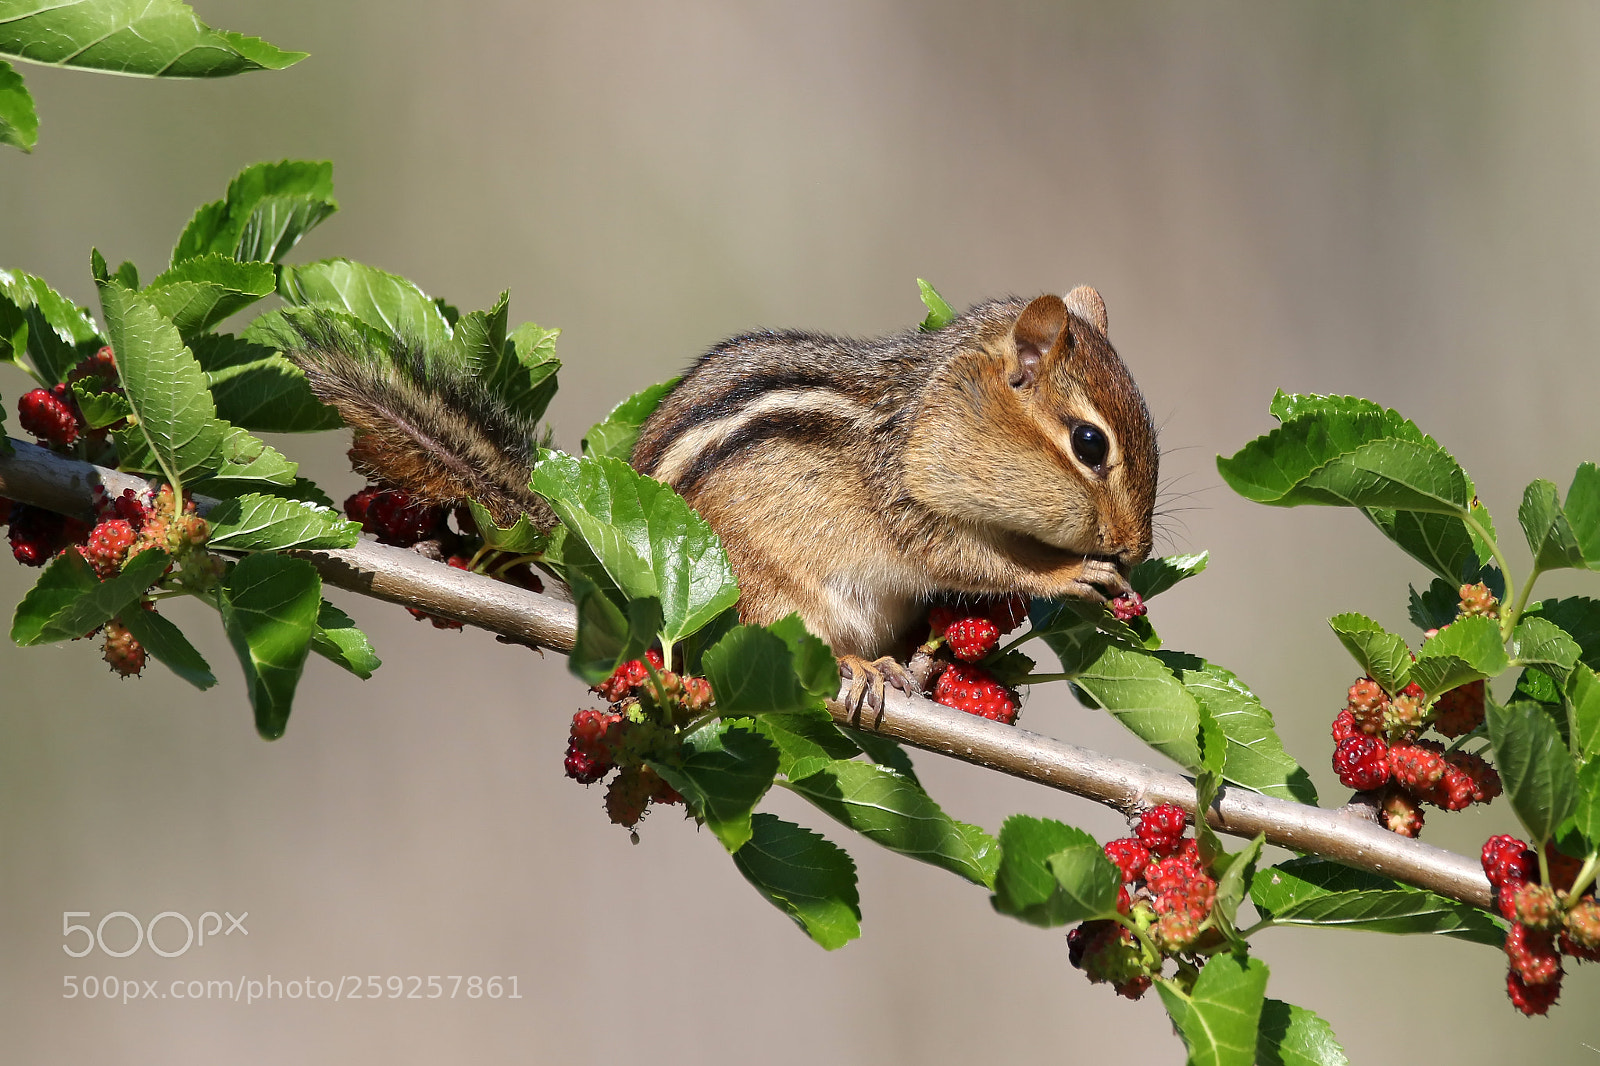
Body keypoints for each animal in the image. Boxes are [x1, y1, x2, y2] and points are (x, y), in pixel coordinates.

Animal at [286, 286, 1158, 703]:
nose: (1137, 548)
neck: (936, 410)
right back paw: (860, 666)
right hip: (759, 586)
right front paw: (1066, 574)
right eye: (1090, 444)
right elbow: (974, 561)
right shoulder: (908, 496)